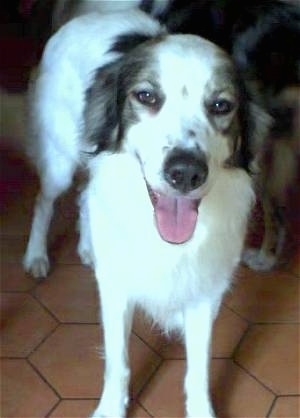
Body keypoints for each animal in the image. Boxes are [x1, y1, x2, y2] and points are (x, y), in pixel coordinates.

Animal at [24, 6, 270, 418]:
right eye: (147, 97)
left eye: (221, 105)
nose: (185, 172)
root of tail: (90, 15)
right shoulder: (115, 287)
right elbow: (118, 362)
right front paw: (111, 408)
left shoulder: (205, 290)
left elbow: (199, 368)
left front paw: (201, 409)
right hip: (60, 160)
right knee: (47, 200)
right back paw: (36, 255)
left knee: (84, 197)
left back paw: (88, 247)